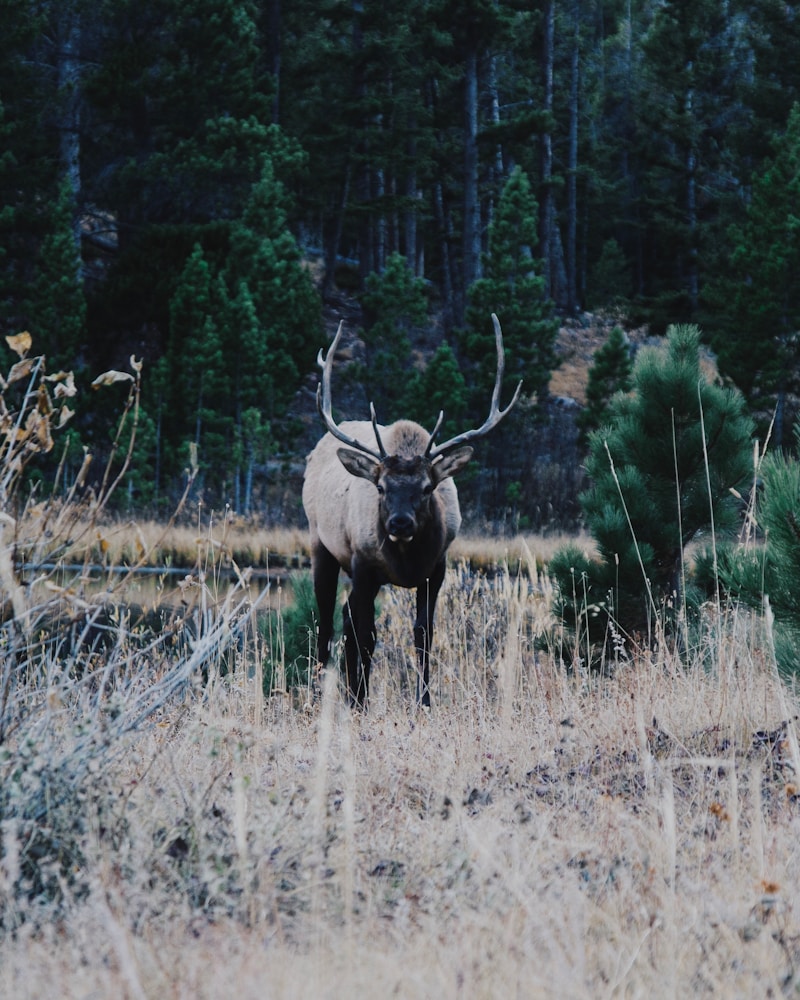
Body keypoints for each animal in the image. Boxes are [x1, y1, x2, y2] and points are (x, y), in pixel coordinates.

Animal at [302, 314, 521, 709]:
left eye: (427, 487)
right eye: (381, 487)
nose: (400, 523)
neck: (405, 561)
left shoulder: (437, 568)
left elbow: (423, 633)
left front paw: (424, 702)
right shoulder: (364, 564)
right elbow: (366, 634)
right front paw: (361, 701)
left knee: (344, 617)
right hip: (321, 544)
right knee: (328, 621)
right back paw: (321, 694)